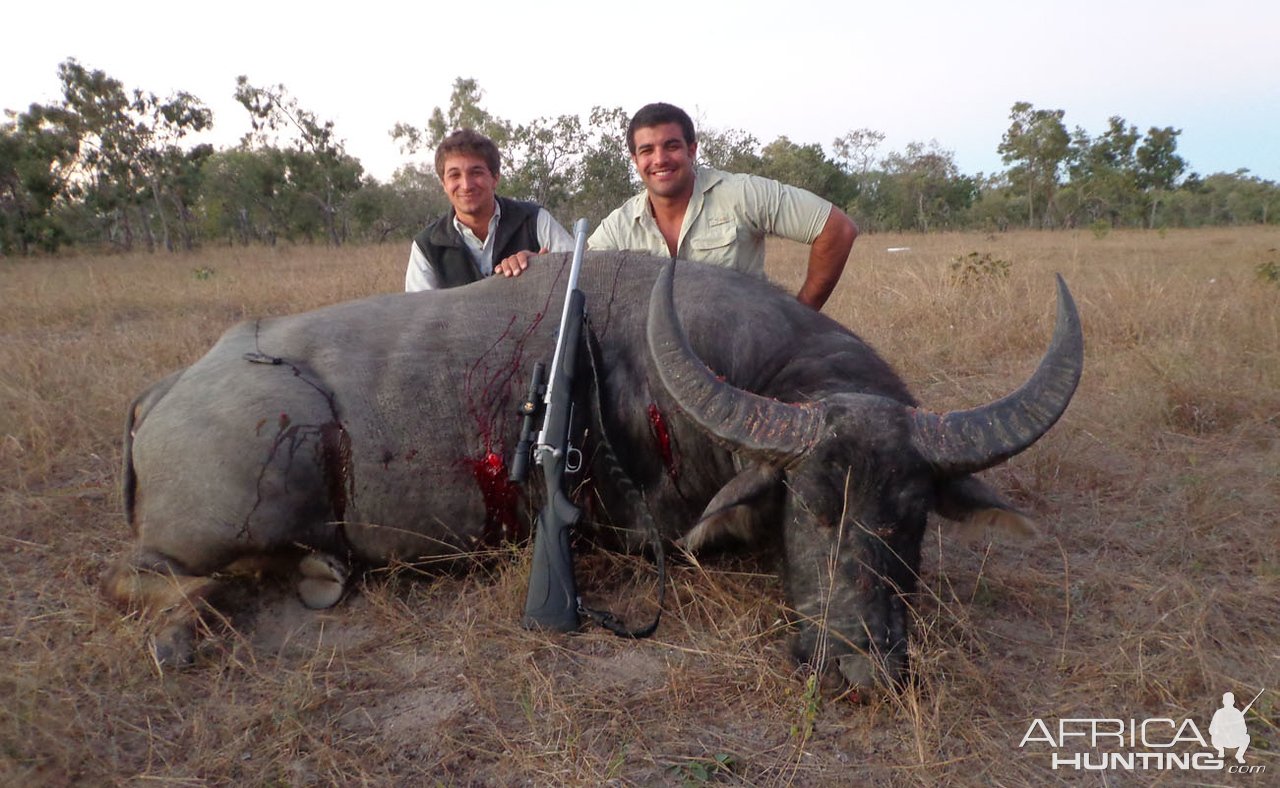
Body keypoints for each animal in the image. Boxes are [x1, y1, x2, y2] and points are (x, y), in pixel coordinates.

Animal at [104, 249, 1080, 685]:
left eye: (910, 515)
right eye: (808, 504)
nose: (861, 669)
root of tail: (168, 388)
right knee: (142, 578)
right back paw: (183, 631)